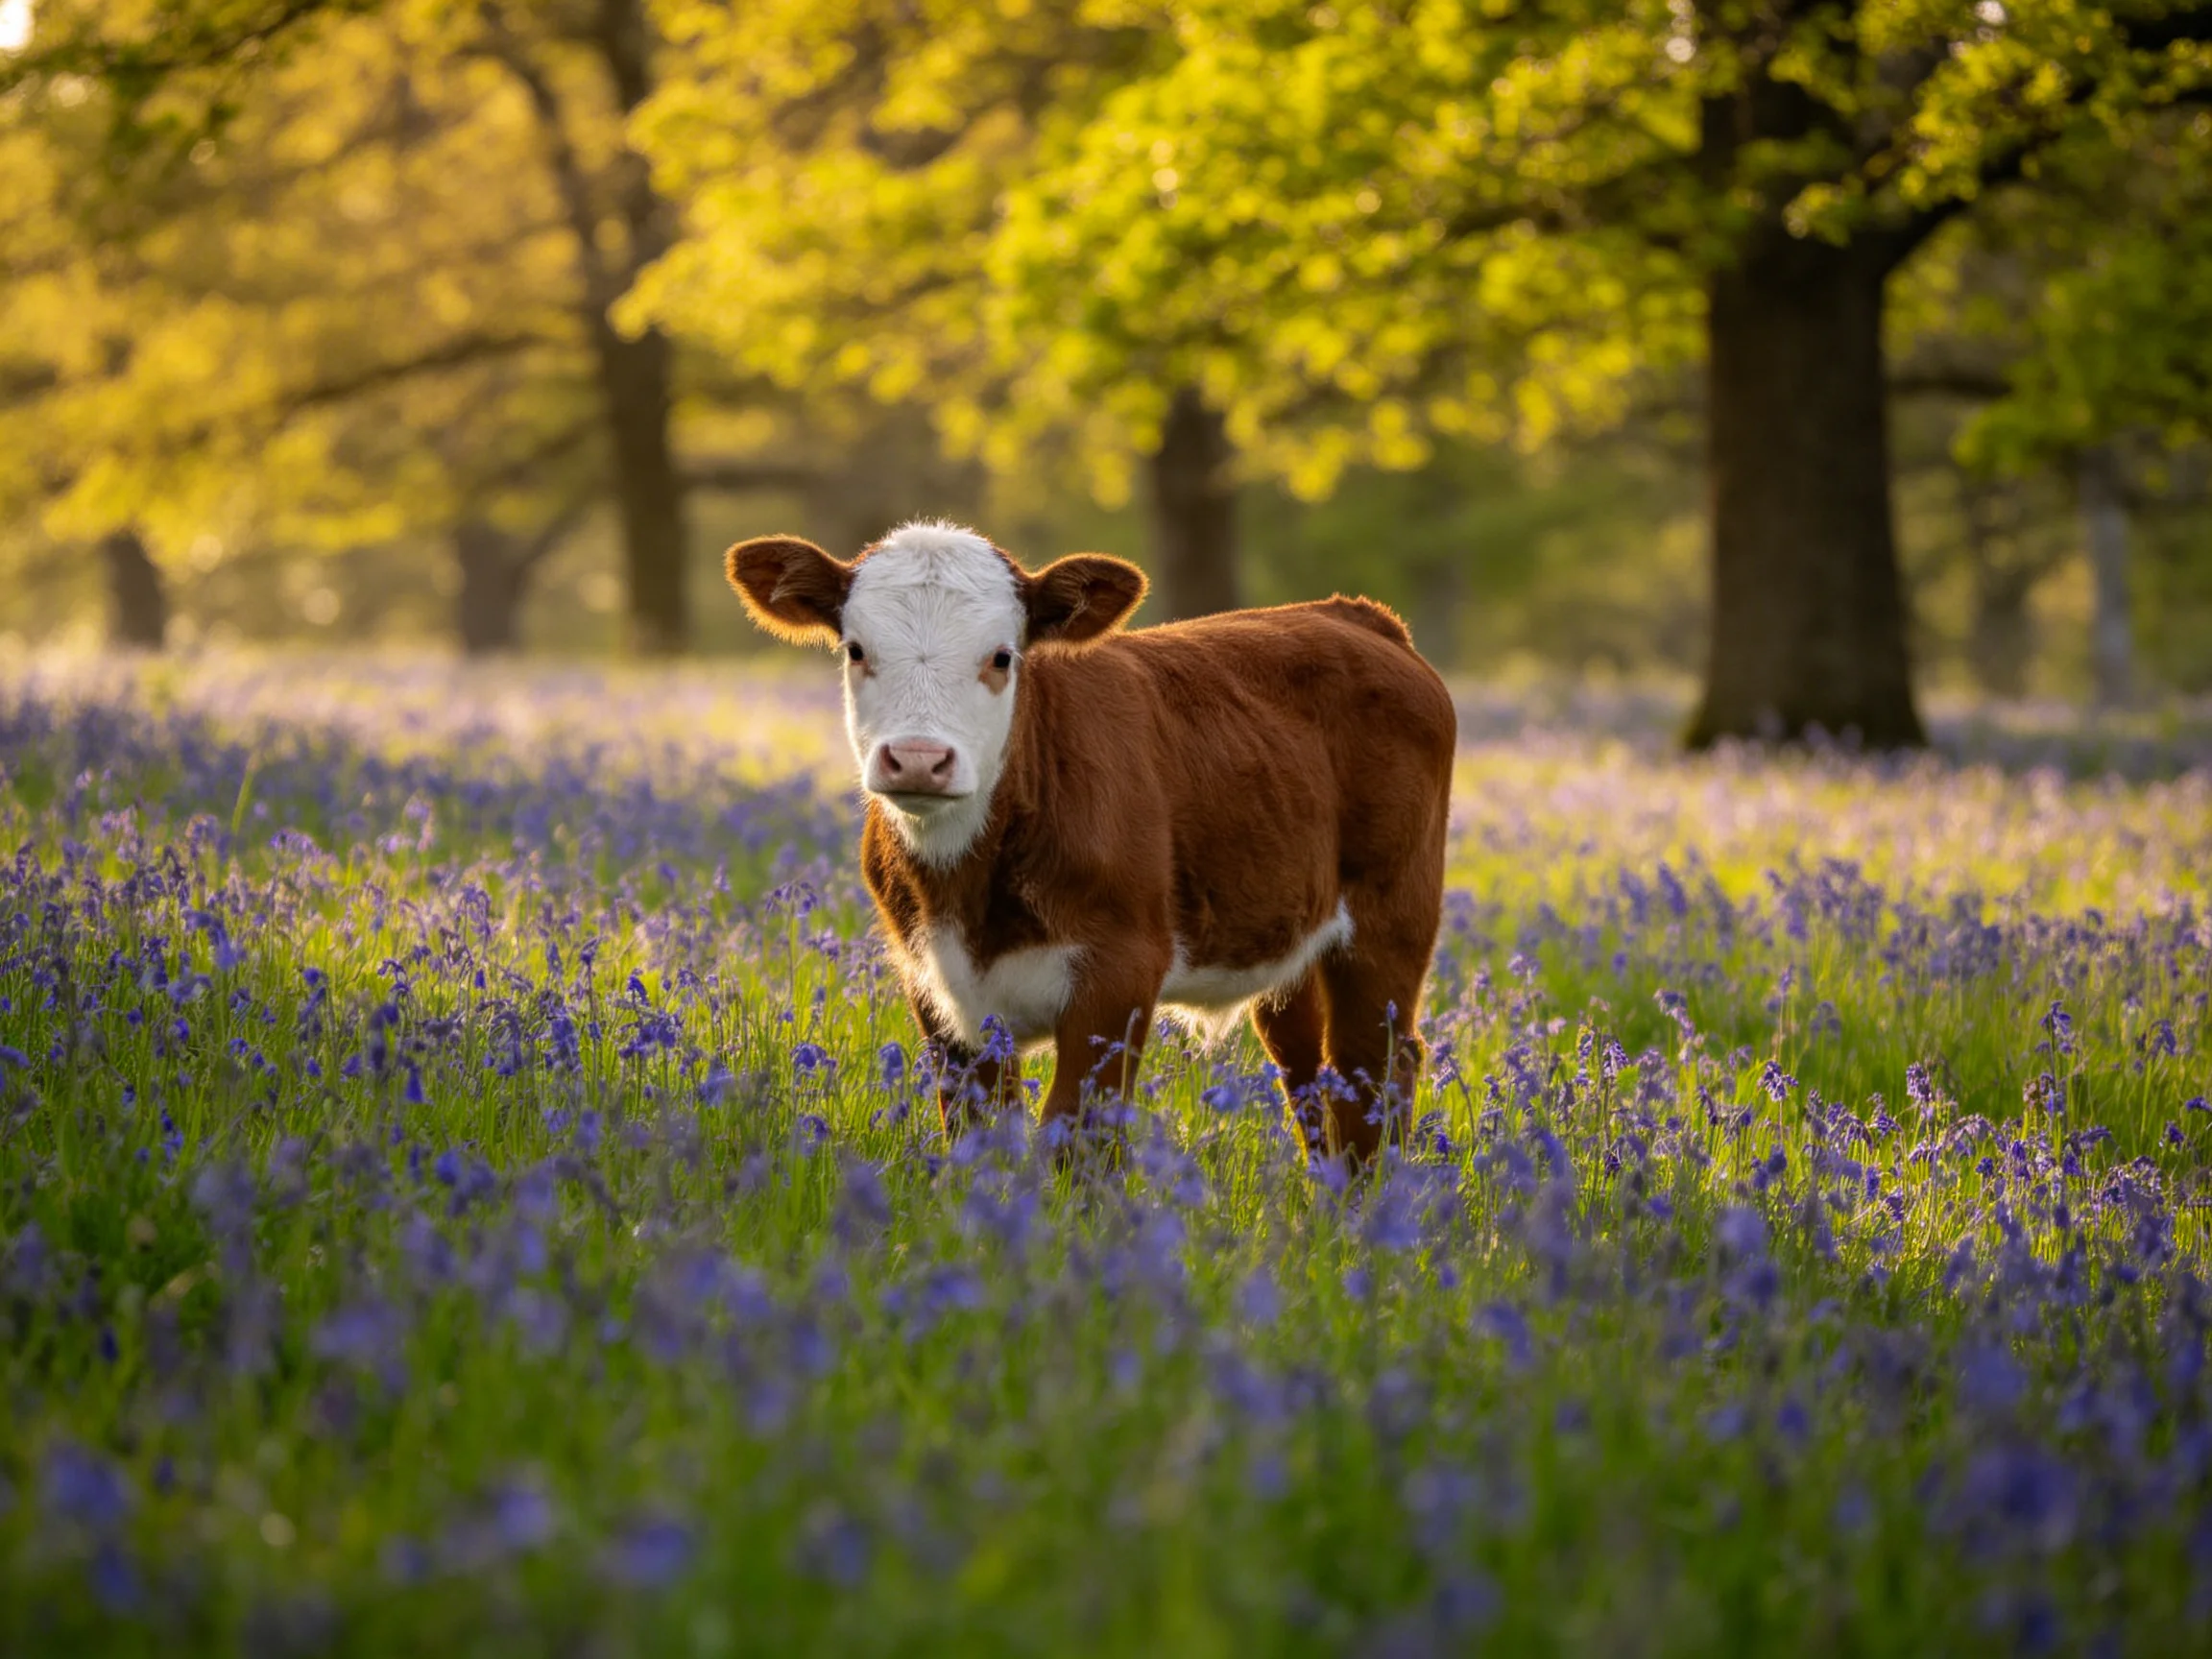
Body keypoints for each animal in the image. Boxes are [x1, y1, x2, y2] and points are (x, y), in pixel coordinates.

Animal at [727, 520, 1456, 1164]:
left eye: (1002, 656)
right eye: (856, 649)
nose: (917, 759)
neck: (970, 890)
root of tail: (1351, 613)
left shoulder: (1120, 970)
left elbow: (1075, 1136)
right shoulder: (935, 986)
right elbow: (976, 1134)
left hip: (1390, 920)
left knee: (1370, 1070)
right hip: (1289, 935)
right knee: (1309, 1068)